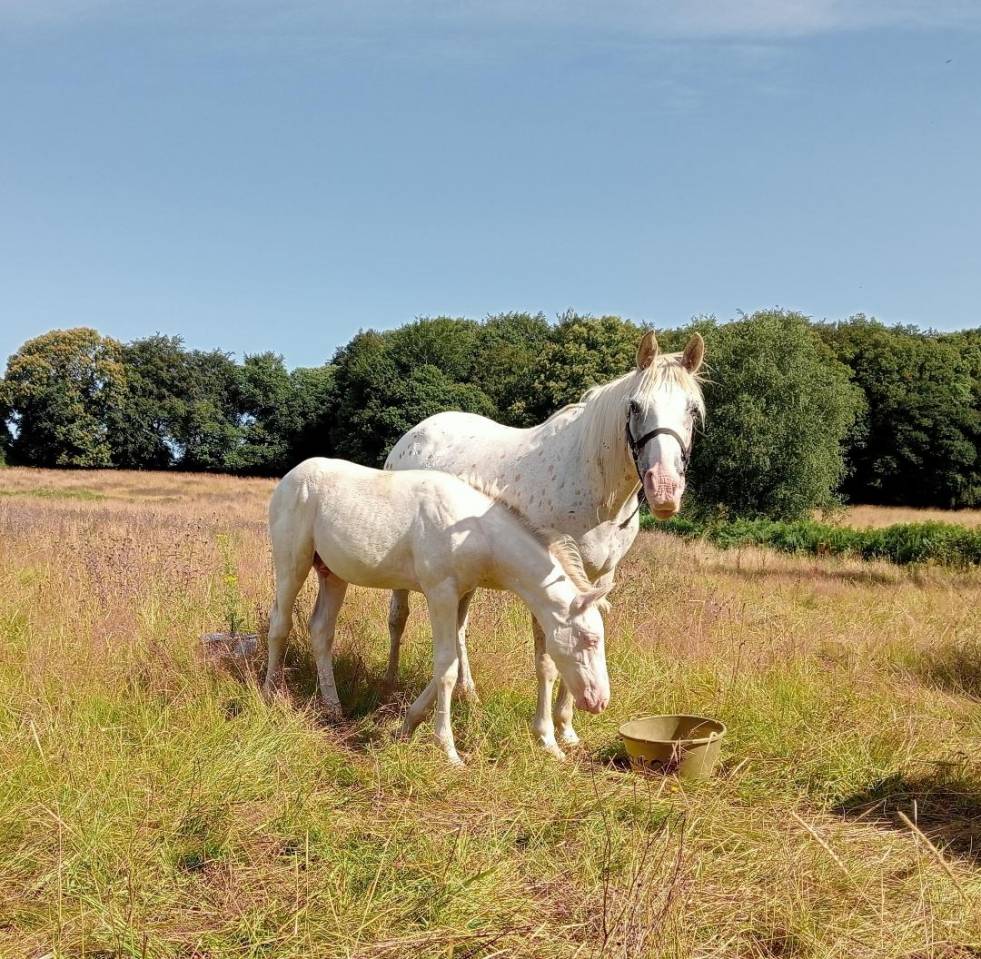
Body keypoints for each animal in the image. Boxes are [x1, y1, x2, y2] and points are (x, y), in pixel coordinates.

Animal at [264, 457, 612, 764]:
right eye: (590, 639)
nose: (599, 701)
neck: (477, 532)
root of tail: (290, 476)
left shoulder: (461, 594)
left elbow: (450, 662)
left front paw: (406, 726)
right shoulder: (440, 592)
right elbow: (447, 667)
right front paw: (448, 749)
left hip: (332, 573)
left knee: (321, 630)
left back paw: (333, 706)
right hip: (292, 563)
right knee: (280, 624)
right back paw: (270, 694)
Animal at [384, 330, 705, 758]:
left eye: (692, 411)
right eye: (635, 406)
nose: (665, 489)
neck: (593, 486)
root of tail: (411, 437)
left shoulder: (594, 578)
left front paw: (567, 728)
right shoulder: (547, 574)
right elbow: (548, 659)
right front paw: (546, 736)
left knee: (459, 629)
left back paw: (470, 696)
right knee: (398, 617)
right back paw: (389, 682)